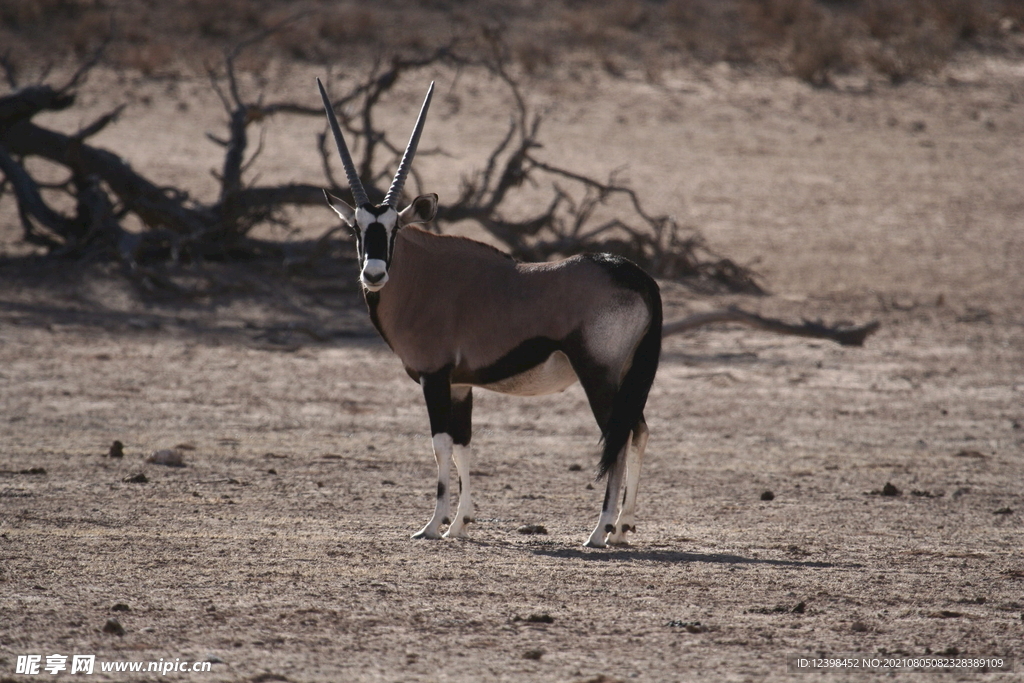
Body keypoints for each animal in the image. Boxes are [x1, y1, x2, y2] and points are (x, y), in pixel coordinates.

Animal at [315, 77, 659, 548]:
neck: (424, 277)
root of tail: (635, 275)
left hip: (600, 376)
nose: (374, 273)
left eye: (394, 228)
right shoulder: (461, 385)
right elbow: (464, 446)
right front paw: (459, 523)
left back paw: (599, 530)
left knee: (618, 437)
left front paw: (432, 525)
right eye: (356, 228)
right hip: (627, 377)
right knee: (639, 431)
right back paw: (622, 528)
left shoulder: (435, 377)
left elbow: (440, 444)